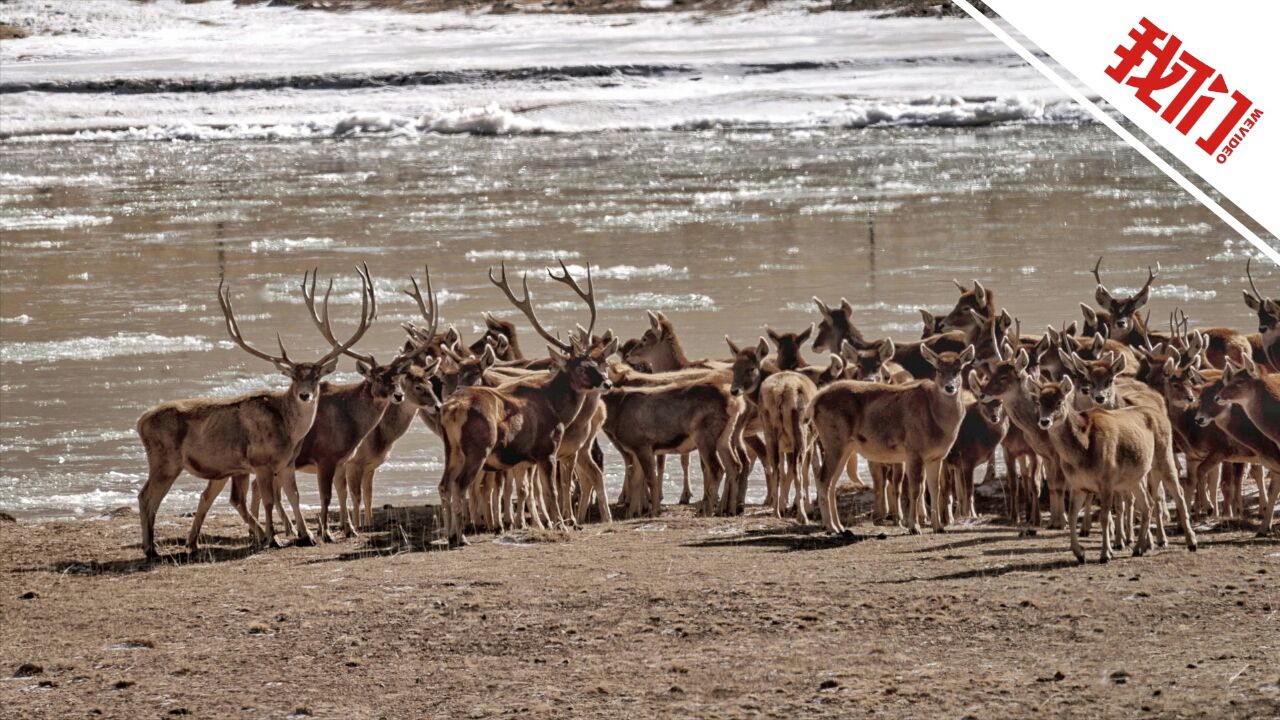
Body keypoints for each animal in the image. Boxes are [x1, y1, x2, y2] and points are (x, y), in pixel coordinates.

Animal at [136, 267, 373, 556]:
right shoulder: (261, 462)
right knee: (146, 496)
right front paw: (274, 539)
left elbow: (294, 496)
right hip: (165, 460)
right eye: (293, 377)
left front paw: (306, 536)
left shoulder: (286, 463)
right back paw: (151, 549)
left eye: (316, 377)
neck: (288, 433)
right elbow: (269, 500)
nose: (305, 395)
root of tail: (140, 421)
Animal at [440, 260, 614, 540]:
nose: (607, 383)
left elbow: (534, 489)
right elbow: (551, 490)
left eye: (597, 363)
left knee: (445, 484)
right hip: (478, 448)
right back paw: (461, 536)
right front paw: (561, 524)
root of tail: (453, 409)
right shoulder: (546, 449)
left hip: (451, 449)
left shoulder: (528, 458)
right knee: (460, 485)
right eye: (580, 368)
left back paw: (453, 534)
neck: (557, 409)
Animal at [803, 340, 972, 532]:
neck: (939, 425)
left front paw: (938, 527)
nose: (949, 387)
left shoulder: (936, 457)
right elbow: (915, 489)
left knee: (832, 483)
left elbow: (934, 488)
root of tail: (814, 401)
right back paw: (831, 527)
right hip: (833, 439)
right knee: (823, 480)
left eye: (958, 369)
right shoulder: (914, 450)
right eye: (938, 369)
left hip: (845, 447)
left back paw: (840, 527)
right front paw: (914, 526)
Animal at [1029, 371, 1198, 563]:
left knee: (1179, 494)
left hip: (1165, 456)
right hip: (1136, 476)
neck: (1082, 452)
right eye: (1039, 402)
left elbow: (1104, 517)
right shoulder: (1077, 485)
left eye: (1059, 401)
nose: (1044, 421)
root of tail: (1164, 416)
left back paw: (1191, 542)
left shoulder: (1107, 479)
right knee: (1147, 503)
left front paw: (1105, 554)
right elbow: (1072, 517)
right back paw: (1139, 548)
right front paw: (1080, 554)